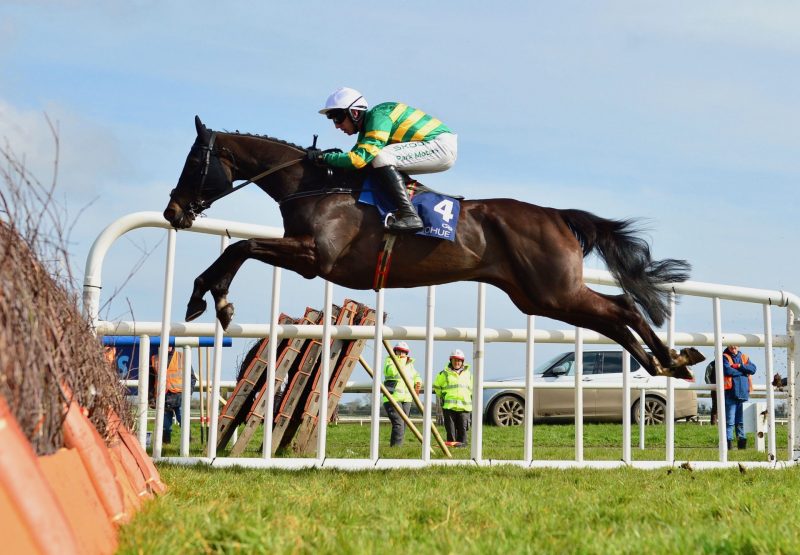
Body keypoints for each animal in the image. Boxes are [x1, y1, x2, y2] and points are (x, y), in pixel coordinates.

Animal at [166, 115, 704, 380]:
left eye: (193, 162)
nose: (172, 211)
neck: (316, 185)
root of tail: (557, 216)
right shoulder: (307, 255)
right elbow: (238, 249)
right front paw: (208, 298)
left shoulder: (316, 257)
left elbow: (240, 247)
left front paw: (211, 300)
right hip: (541, 297)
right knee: (613, 317)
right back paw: (665, 363)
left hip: (554, 289)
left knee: (622, 308)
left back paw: (672, 360)